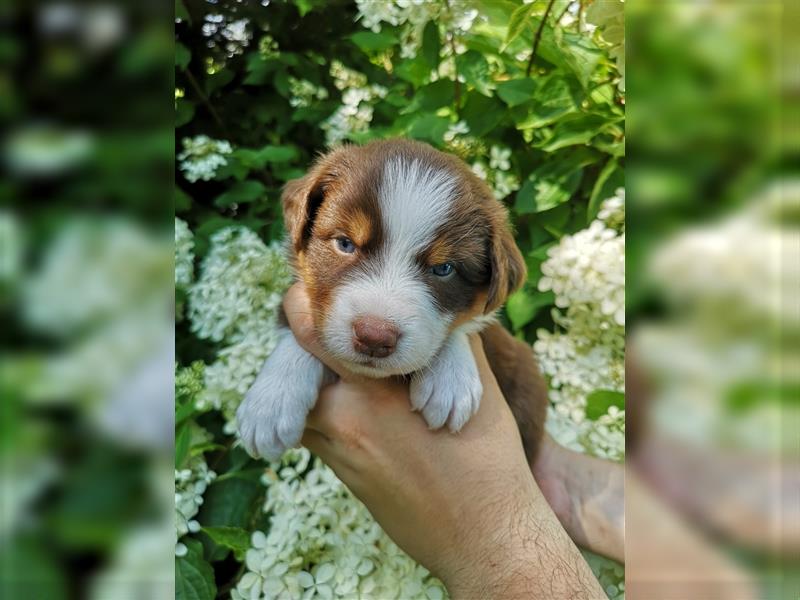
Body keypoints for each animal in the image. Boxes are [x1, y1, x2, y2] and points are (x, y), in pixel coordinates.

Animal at [236, 141, 552, 464]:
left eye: (444, 269)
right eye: (345, 244)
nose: (374, 337)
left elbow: (468, 324)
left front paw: (451, 381)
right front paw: (271, 401)